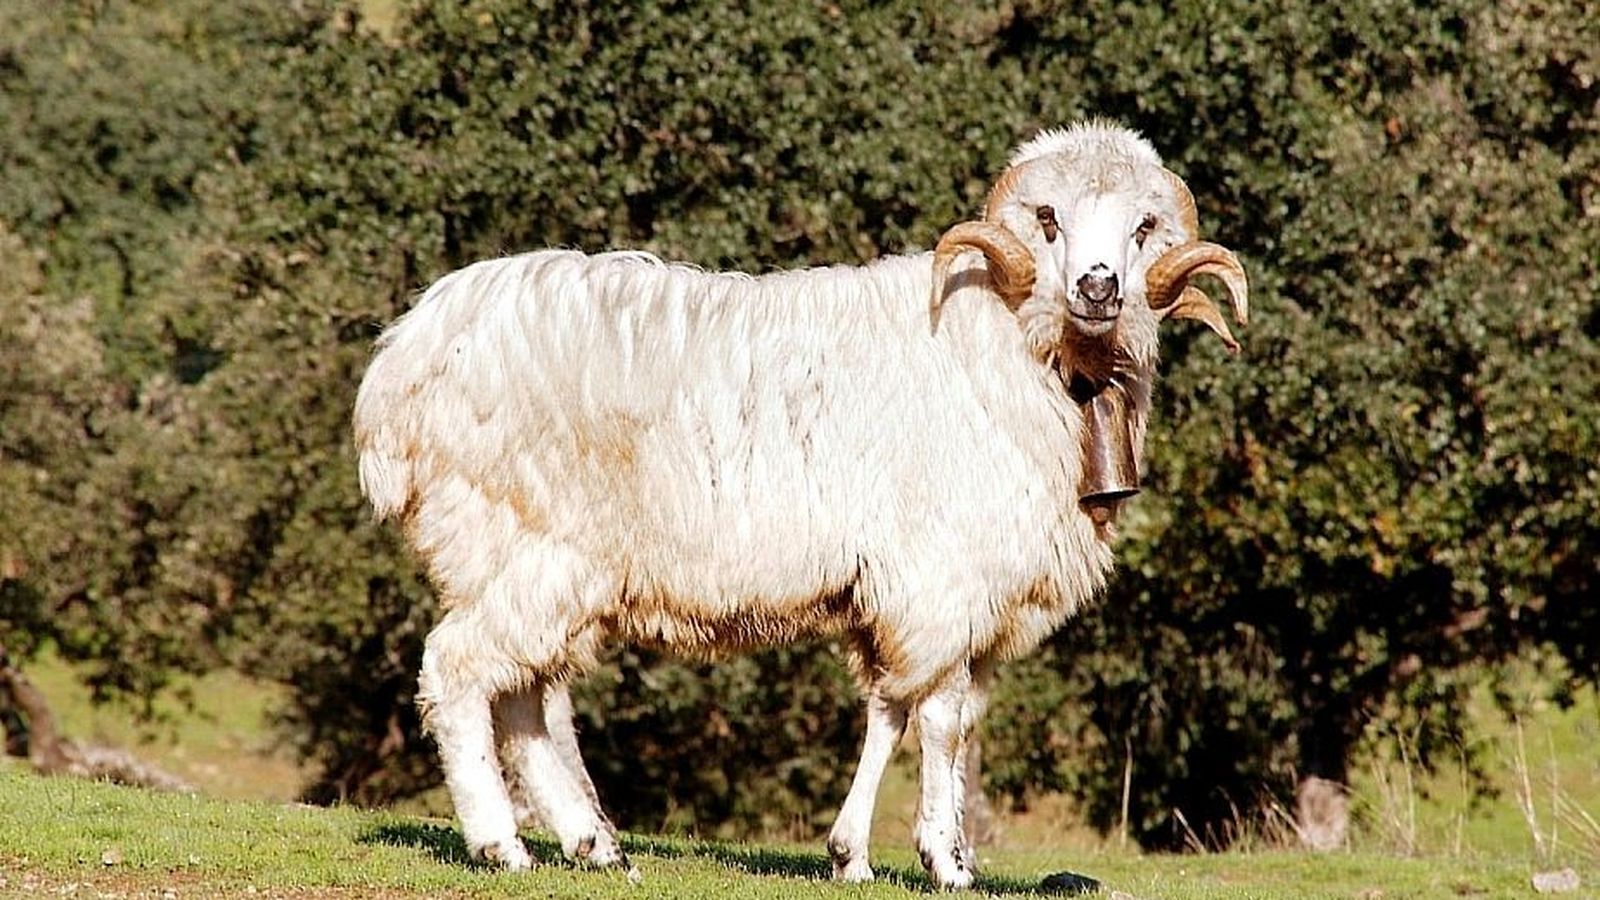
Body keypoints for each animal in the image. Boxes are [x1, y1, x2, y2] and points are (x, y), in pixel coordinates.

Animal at [352, 120, 1248, 889]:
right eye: (1049, 220)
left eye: (1143, 226)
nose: (1098, 288)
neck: (1007, 341)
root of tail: (400, 367)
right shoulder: (941, 580)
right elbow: (941, 718)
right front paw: (944, 860)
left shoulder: (935, 600)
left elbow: (903, 711)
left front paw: (862, 853)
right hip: (527, 543)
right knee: (461, 673)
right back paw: (501, 844)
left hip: (533, 563)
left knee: (525, 700)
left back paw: (594, 845)